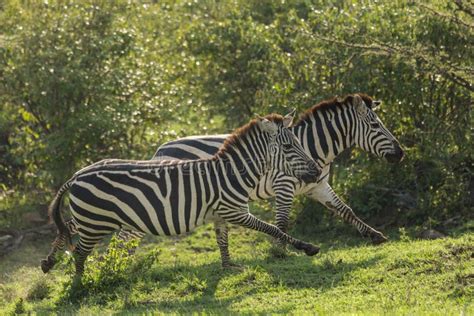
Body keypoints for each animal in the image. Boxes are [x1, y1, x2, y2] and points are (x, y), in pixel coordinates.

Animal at [40, 113, 322, 274]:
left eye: (298, 143)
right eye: (288, 146)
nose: (317, 171)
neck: (233, 173)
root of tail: (77, 174)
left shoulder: (221, 214)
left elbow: (222, 241)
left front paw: (228, 266)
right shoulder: (235, 211)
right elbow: (273, 228)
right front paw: (307, 247)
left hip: (93, 218)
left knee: (68, 227)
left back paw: (50, 262)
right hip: (95, 222)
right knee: (79, 251)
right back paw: (81, 284)